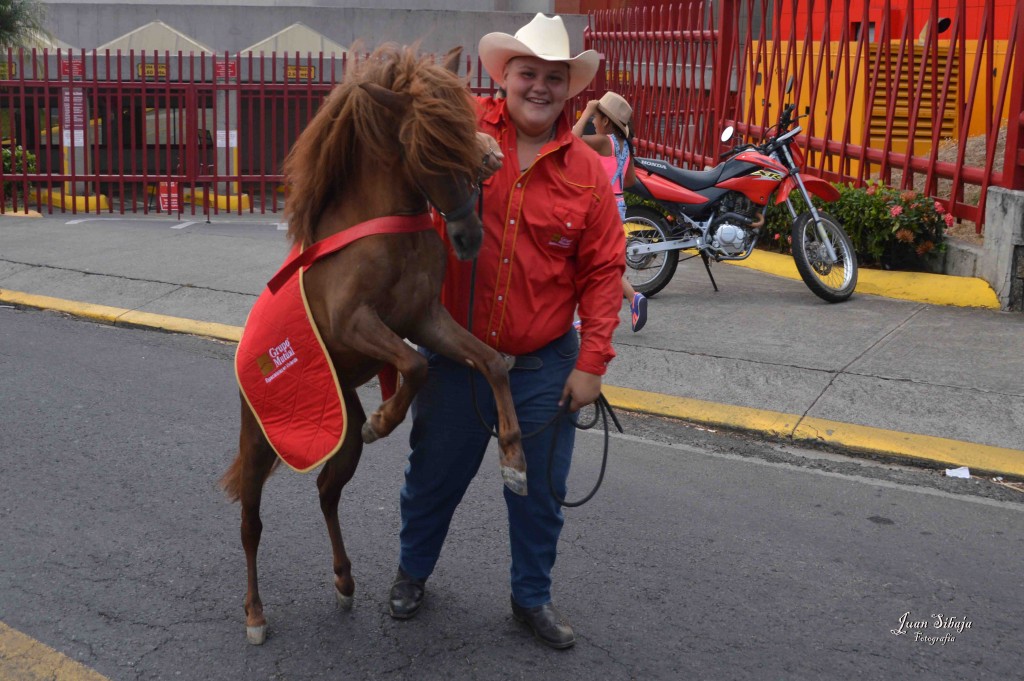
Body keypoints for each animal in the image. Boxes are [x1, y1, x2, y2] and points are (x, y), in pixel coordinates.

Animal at [224, 45, 528, 647]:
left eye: (468, 137)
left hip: (337, 433)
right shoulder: (355, 323)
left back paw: (344, 581)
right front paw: (387, 418)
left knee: (326, 489)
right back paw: (254, 614)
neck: (382, 229)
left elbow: (491, 363)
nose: (468, 239)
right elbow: (413, 366)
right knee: (250, 522)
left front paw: (514, 457)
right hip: (259, 439)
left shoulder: (427, 318)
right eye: (425, 148)